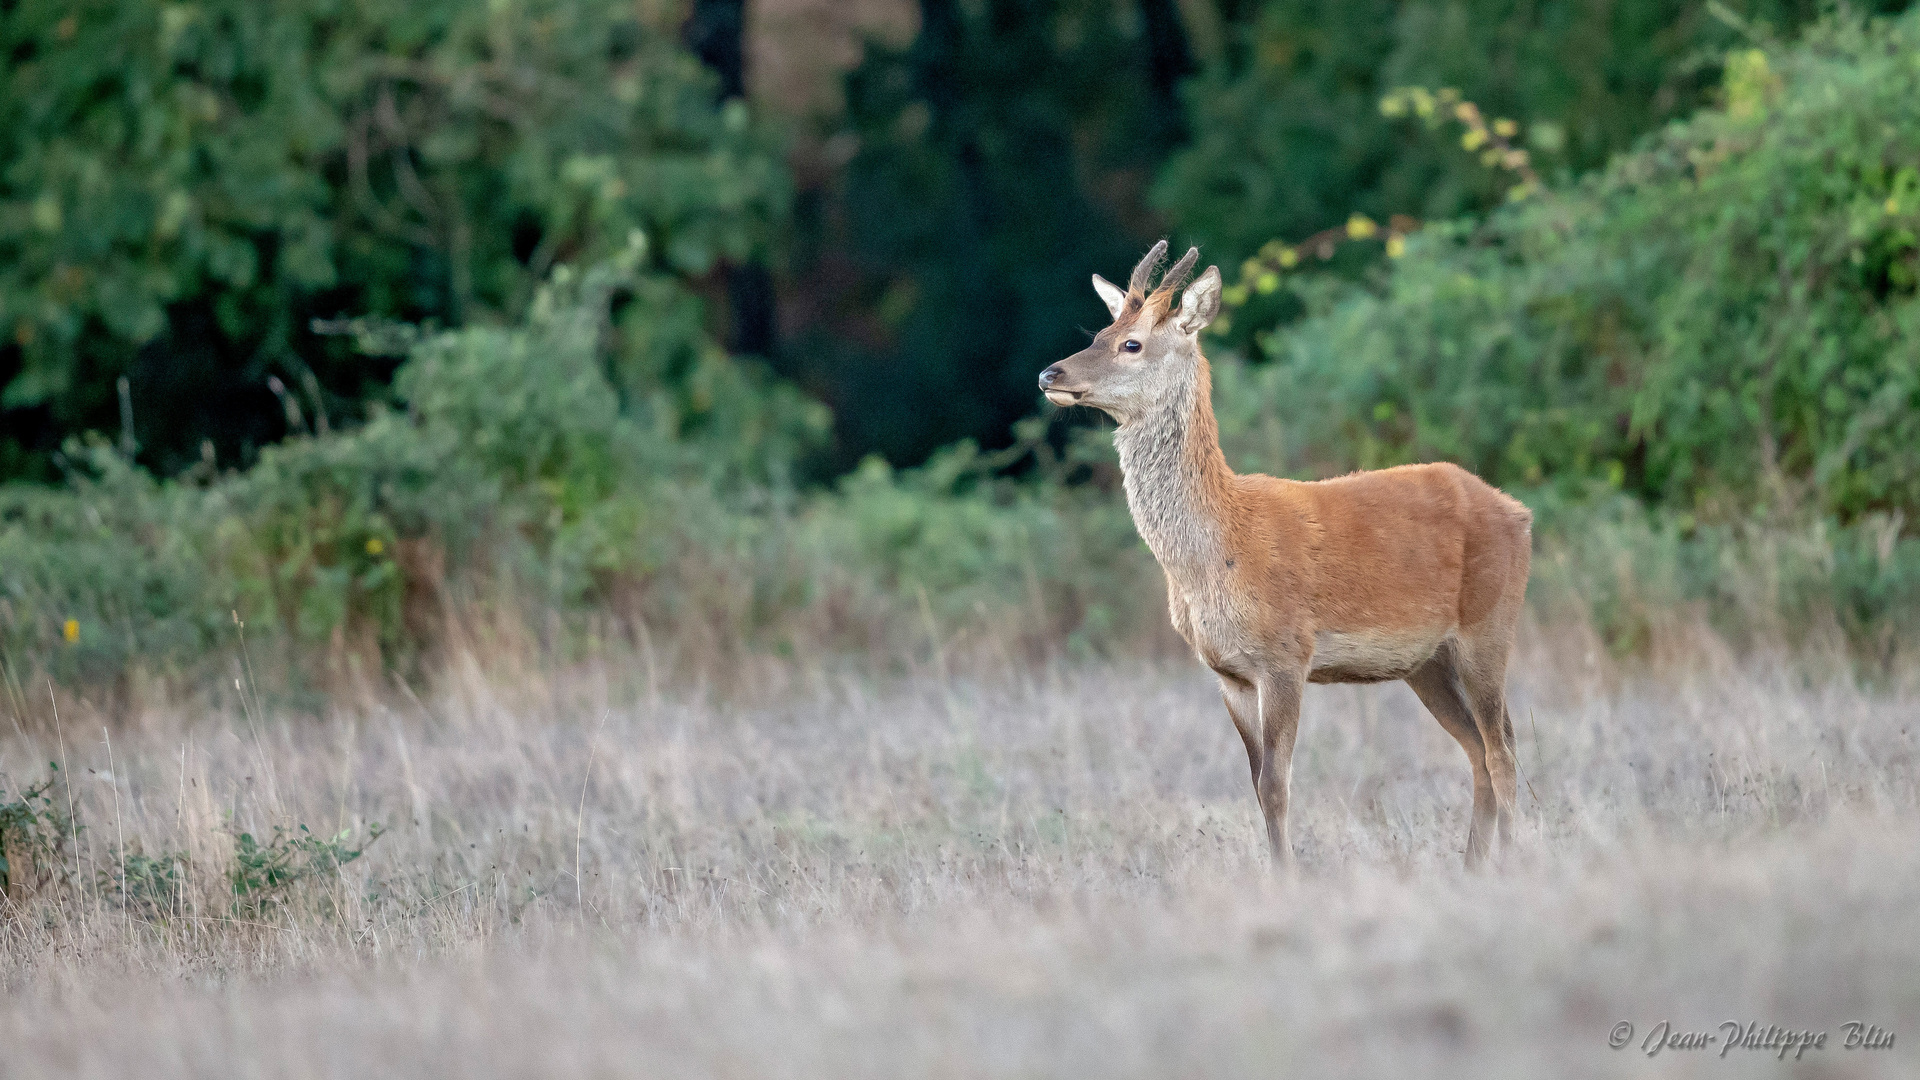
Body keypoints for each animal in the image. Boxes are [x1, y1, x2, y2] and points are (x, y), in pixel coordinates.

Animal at [1036, 242, 1528, 864]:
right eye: (1100, 330)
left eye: (1132, 343)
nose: (1050, 373)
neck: (1217, 554)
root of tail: (1519, 513)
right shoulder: (1228, 671)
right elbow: (1255, 784)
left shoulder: (1286, 653)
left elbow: (1276, 783)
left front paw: (1289, 876)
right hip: (1427, 661)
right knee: (1481, 751)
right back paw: (1472, 866)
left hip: (1489, 624)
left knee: (1502, 749)